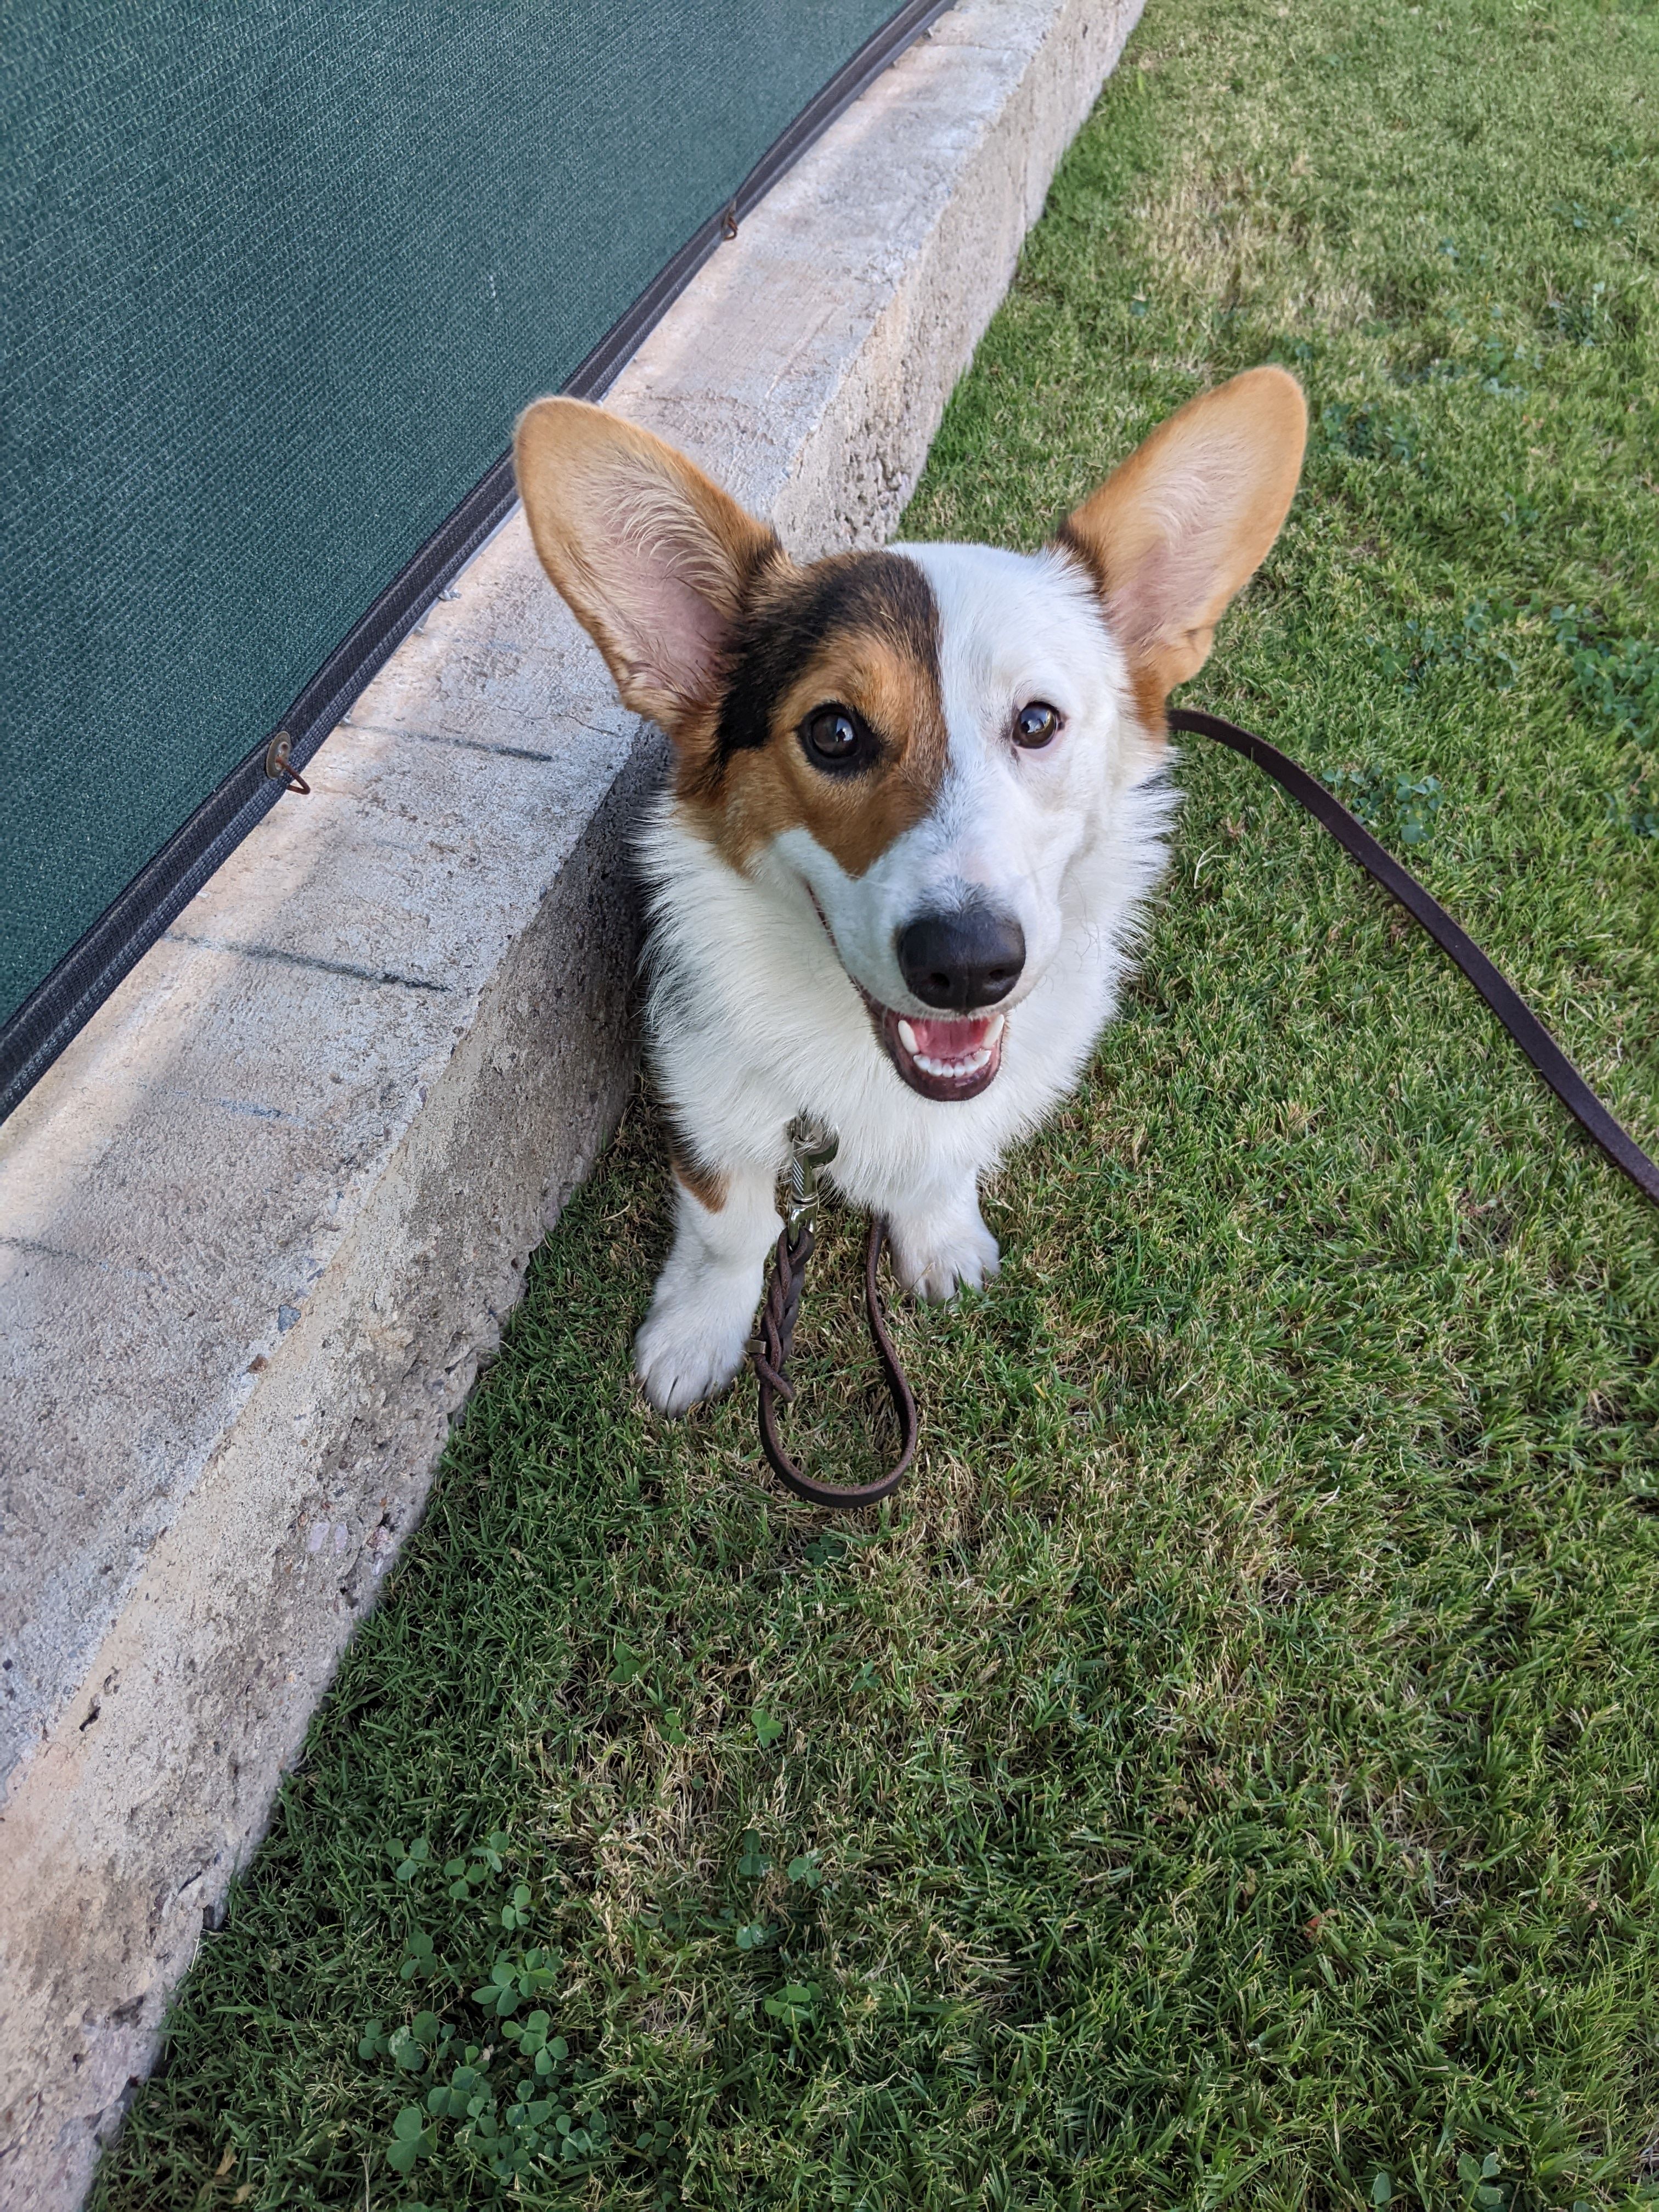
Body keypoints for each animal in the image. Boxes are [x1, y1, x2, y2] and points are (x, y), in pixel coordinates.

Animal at [514, 367, 1307, 1414]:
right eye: (834, 732)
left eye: (1038, 721)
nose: (967, 966)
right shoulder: (713, 1097)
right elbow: (732, 1226)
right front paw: (695, 1334)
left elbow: (944, 1167)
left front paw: (940, 1243)